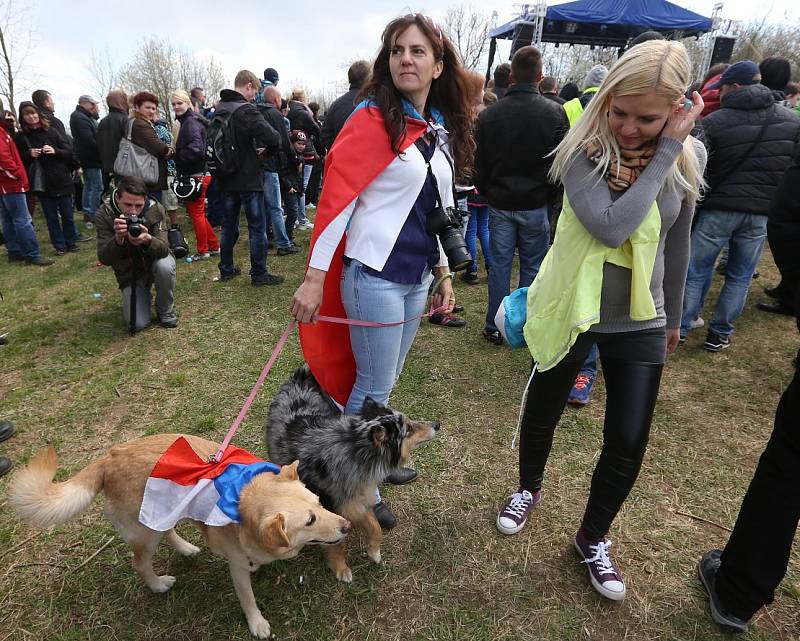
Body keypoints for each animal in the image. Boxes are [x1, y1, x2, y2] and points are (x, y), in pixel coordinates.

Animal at [6, 432, 350, 636]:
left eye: (319, 502)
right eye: (309, 521)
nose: (346, 526)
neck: (243, 494)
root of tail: (110, 456)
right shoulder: (236, 568)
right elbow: (247, 598)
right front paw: (257, 624)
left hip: (160, 512)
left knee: (168, 530)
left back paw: (185, 548)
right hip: (144, 535)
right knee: (140, 563)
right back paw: (158, 584)